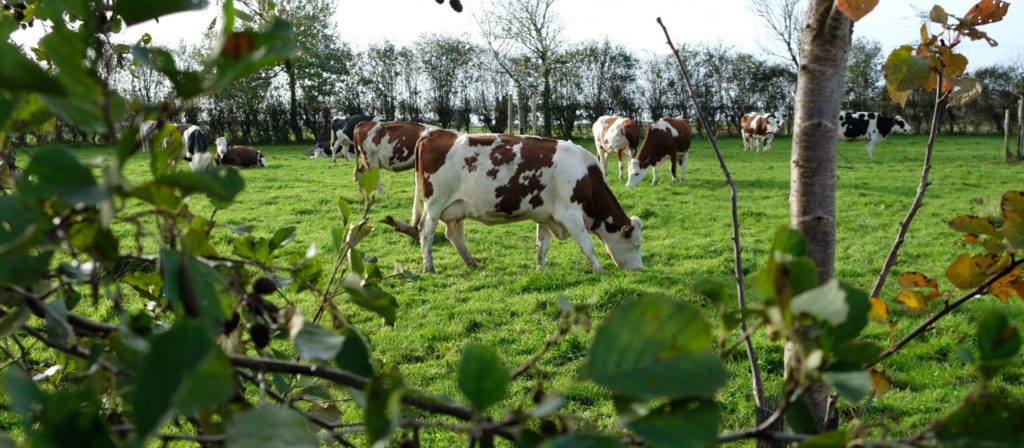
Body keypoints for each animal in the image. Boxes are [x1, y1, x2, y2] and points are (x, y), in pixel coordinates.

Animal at [414, 129, 644, 273]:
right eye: (636, 244)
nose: (640, 270)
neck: (583, 175)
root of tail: (434, 134)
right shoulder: (570, 215)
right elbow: (587, 245)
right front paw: (600, 270)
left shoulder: (546, 216)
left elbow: (542, 245)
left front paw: (540, 270)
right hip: (435, 202)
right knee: (425, 231)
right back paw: (429, 268)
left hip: (455, 208)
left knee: (454, 235)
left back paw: (473, 263)